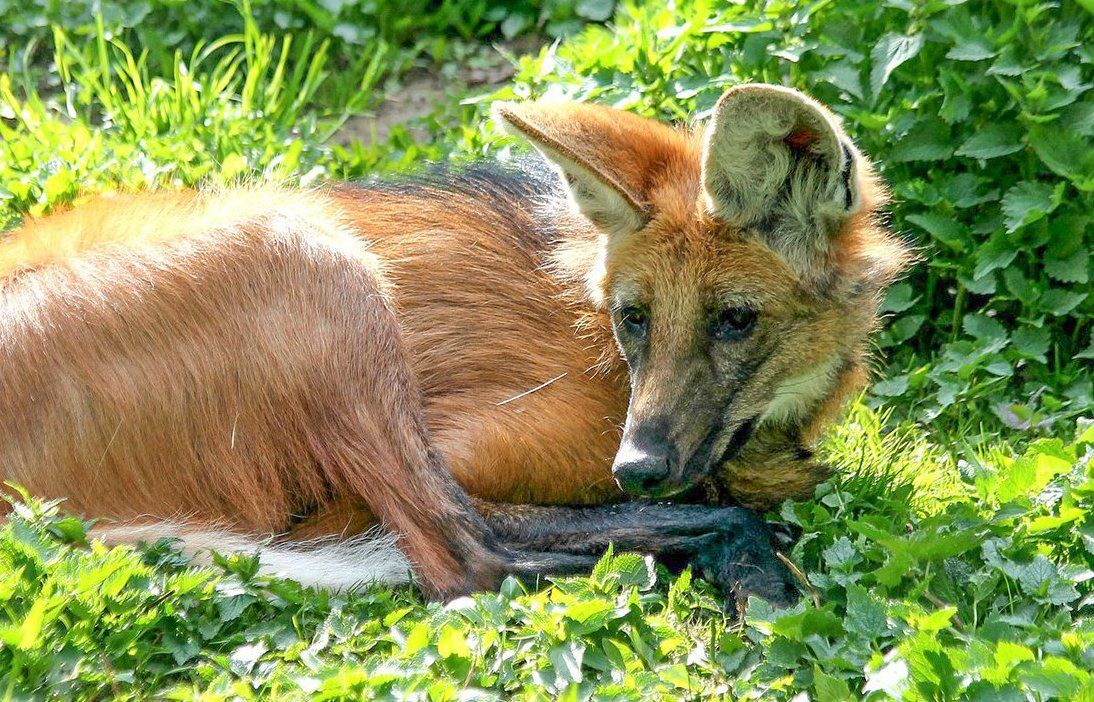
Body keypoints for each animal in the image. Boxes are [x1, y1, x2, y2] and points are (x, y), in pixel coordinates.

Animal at [0, 83, 905, 603]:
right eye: (635, 318)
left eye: (734, 320)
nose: (638, 464)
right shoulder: (455, 453)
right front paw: (750, 569)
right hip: (311, 258)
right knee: (463, 560)